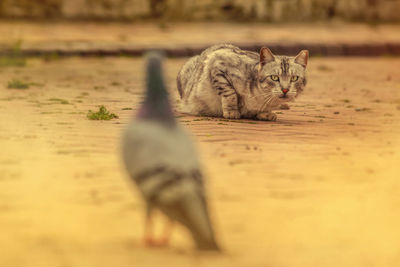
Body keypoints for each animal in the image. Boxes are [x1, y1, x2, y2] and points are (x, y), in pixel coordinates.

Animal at [176, 44, 310, 121]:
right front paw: (232, 111)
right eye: (274, 77)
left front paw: (265, 114)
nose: (285, 89)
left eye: (294, 78)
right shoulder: (217, 66)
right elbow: (230, 94)